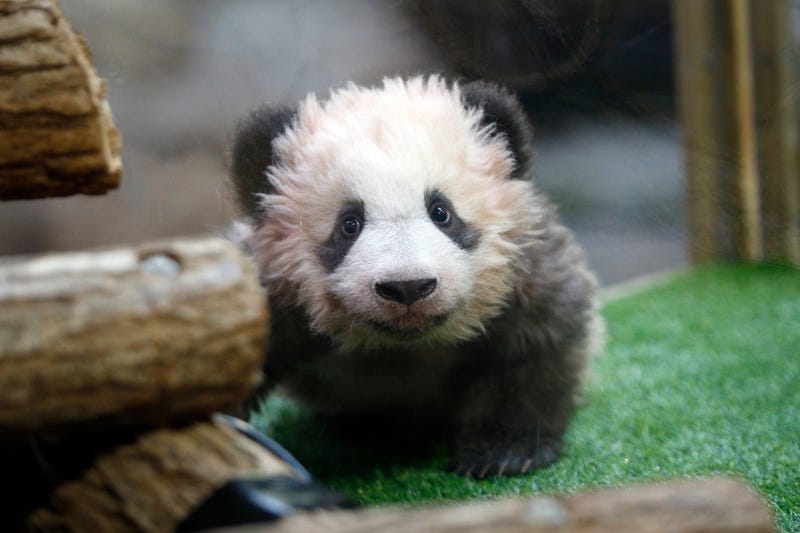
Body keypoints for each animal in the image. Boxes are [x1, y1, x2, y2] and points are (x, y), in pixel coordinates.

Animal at [229, 75, 602, 478]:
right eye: (349, 224)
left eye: (441, 212)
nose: (407, 287)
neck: (405, 345)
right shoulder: (272, 289)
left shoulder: (521, 269)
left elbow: (533, 347)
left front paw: (503, 451)